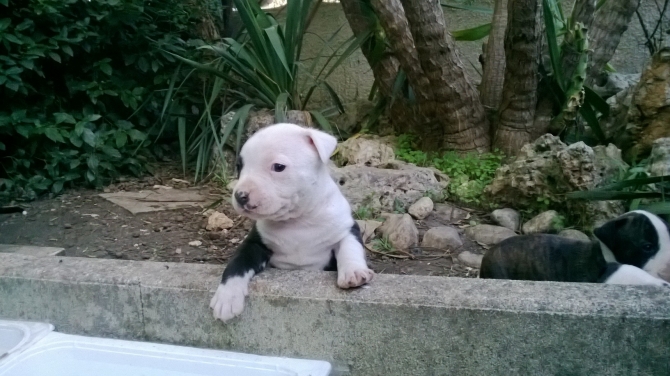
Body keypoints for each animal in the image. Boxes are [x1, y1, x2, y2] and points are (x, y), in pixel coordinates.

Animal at [211, 122, 372, 320]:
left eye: (278, 167)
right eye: (239, 166)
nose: (240, 196)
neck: (297, 220)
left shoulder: (346, 228)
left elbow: (350, 247)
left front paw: (353, 272)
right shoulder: (256, 243)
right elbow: (237, 262)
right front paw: (226, 297)